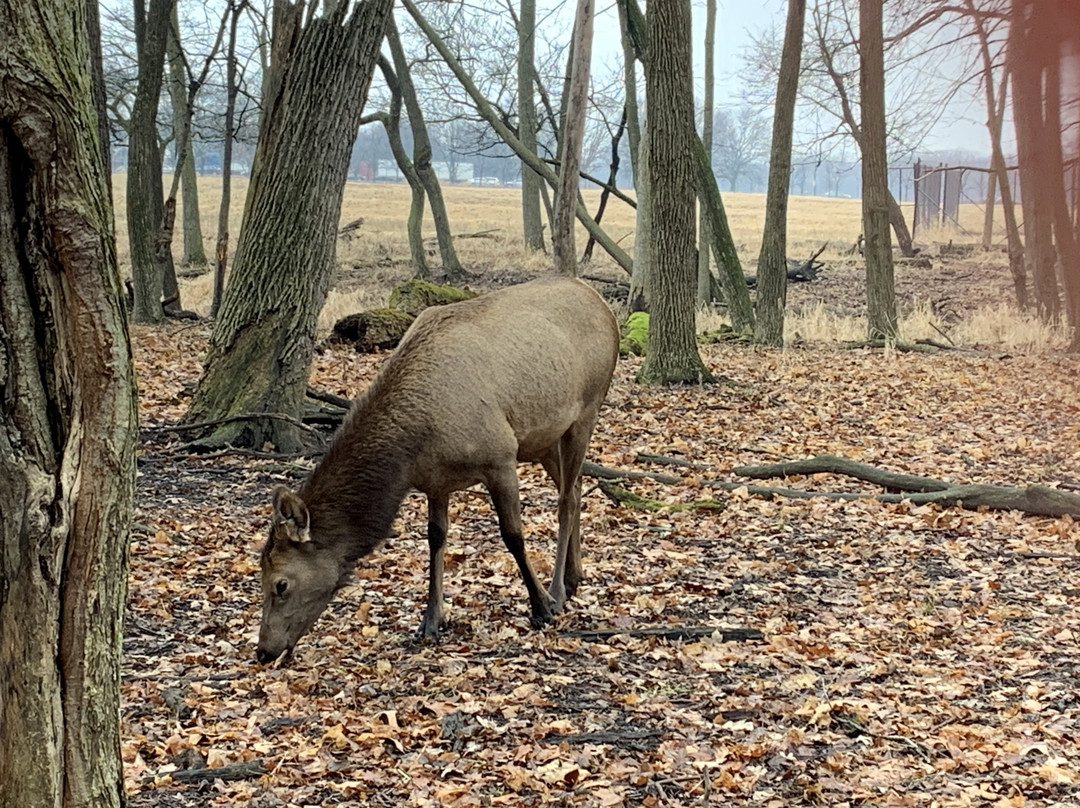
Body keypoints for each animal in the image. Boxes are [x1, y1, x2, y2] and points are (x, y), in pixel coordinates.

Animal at [256, 277, 620, 663]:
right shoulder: (435, 481)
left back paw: (558, 590)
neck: (413, 448)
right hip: (545, 439)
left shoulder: (501, 456)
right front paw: (431, 620)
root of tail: (600, 302)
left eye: (281, 584)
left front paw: (541, 606)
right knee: (576, 487)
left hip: (586, 411)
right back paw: (574, 576)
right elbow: (435, 539)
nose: (263, 651)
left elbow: (512, 535)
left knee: (566, 499)